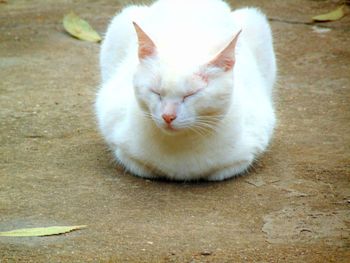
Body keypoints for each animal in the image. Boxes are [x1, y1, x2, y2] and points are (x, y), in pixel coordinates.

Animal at [95, 0, 276, 182]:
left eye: (190, 94)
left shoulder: (247, 150)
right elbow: (139, 164)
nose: (168, 116)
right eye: (156, 92)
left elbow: (220, 171)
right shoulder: (115, 132)